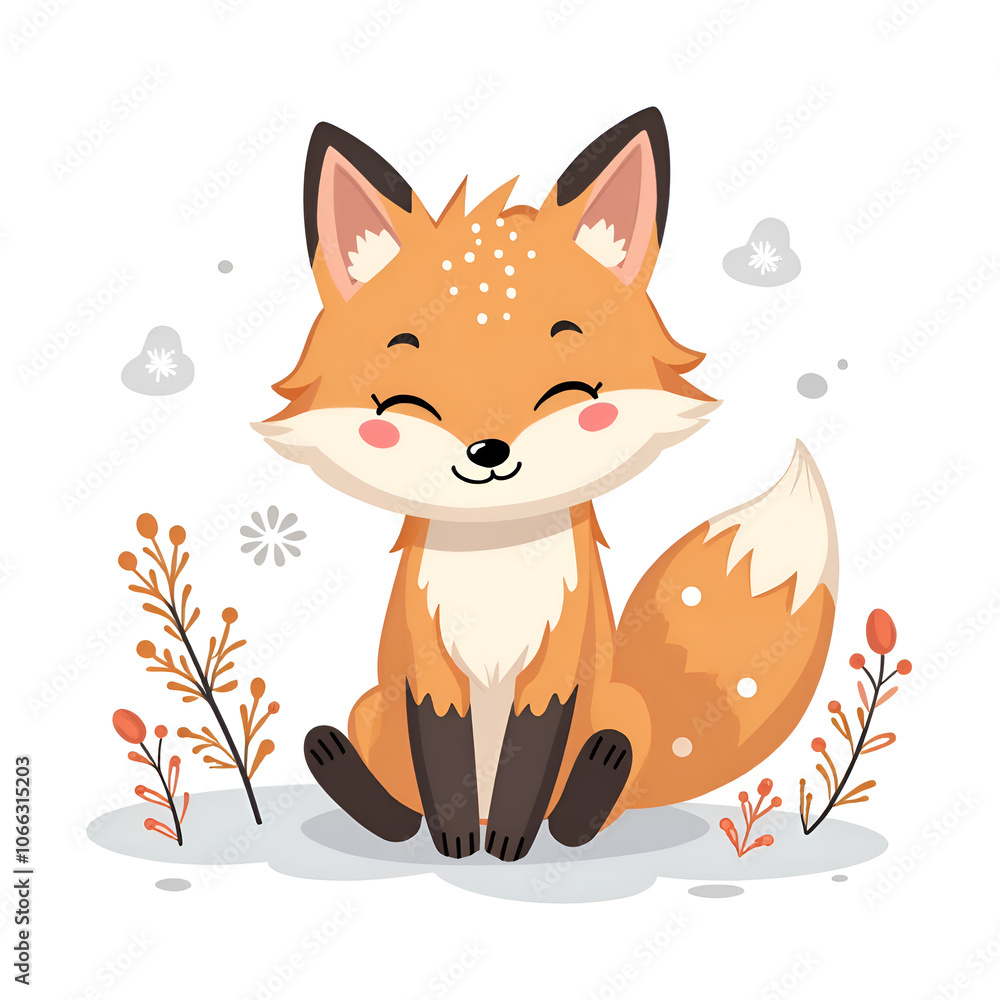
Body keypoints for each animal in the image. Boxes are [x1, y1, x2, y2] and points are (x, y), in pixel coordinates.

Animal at [254, 108, 838, 862]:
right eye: (405, 400)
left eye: (570, 389)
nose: (488, 451)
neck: (495, 567)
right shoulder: (427, 667)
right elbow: (442, 757)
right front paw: (457, 843)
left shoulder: (558, 665)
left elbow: (528, 759)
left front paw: (507, 843)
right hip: (372, 709)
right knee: (395, 805)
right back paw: (345, 772)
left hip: (621, 709)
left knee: (596, 792)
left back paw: (594, 782)